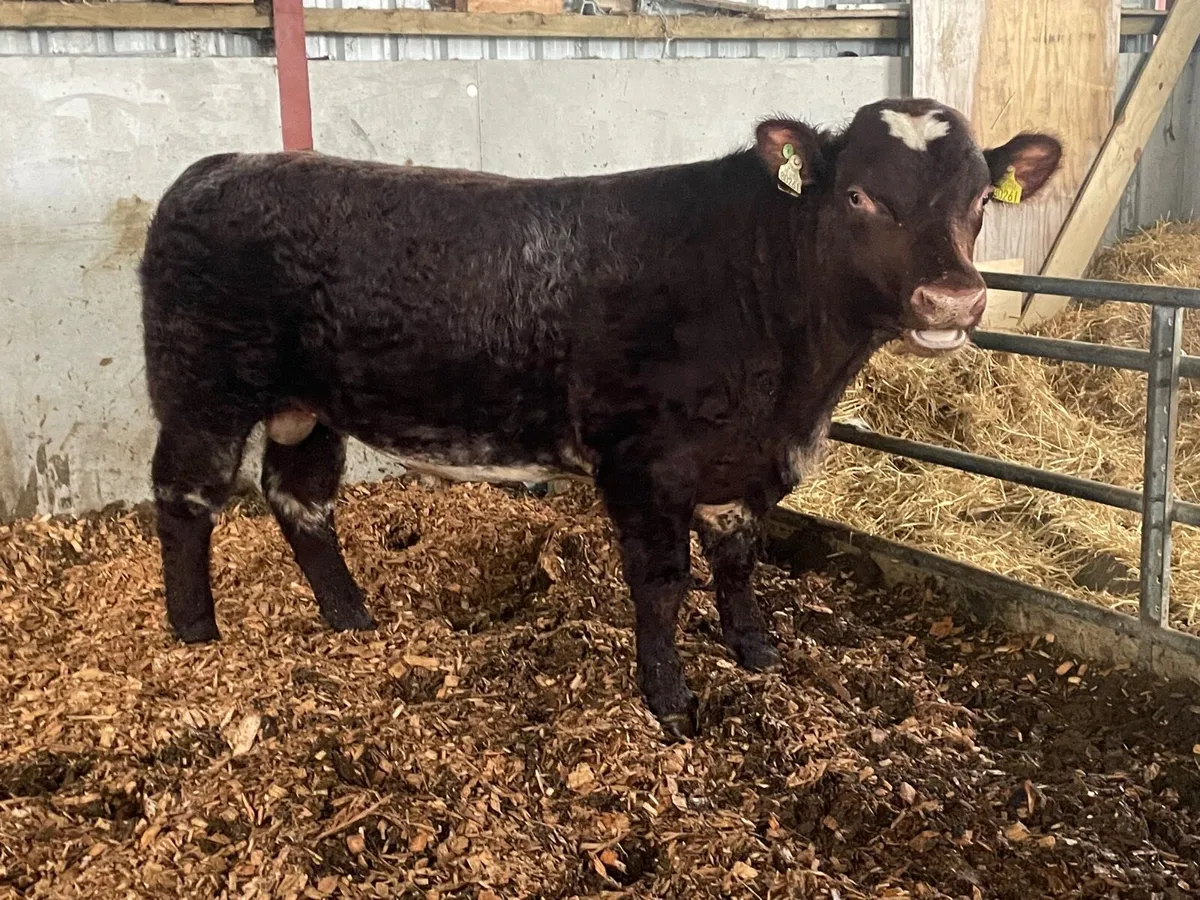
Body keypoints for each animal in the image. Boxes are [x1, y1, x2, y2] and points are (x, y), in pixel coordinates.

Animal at [139, 98, 1061, 738]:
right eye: (861, 196)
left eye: (982, 198)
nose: (953, 299)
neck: (793, 390)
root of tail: (220, 164)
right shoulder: (644, 464)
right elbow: (662, 583)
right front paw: (671, 702)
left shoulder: (745, 464)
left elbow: (738, 563)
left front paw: (757, 656)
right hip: (202, 388)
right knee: (187, 498)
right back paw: (195, 633)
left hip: (308, 404)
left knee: (300, 497)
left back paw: (351, 619)